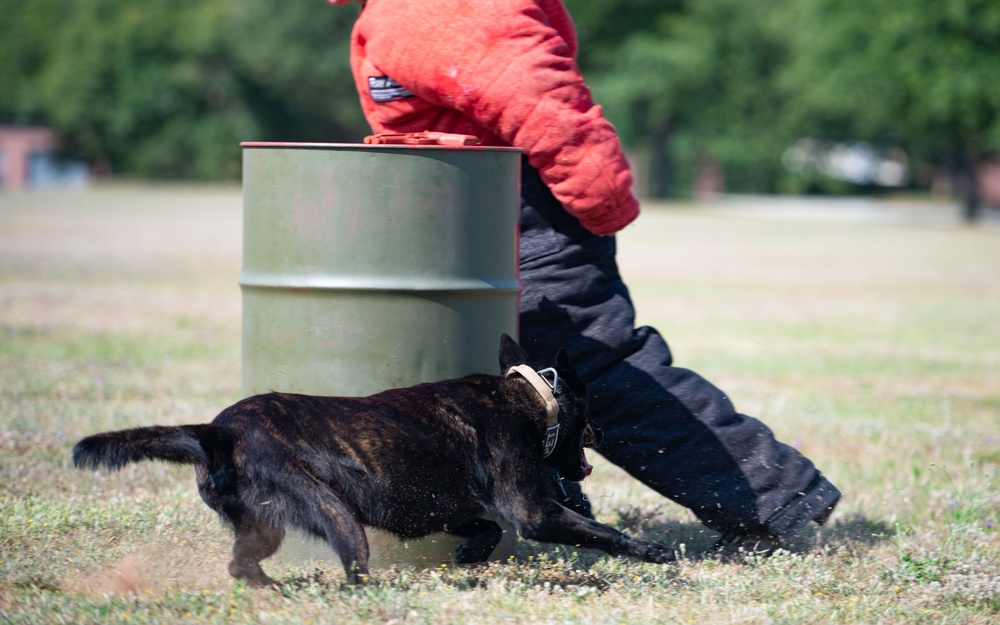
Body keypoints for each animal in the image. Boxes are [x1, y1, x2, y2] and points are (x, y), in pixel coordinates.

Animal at [74, 334, 676, 584]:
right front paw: (654, 552)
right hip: (335, 514)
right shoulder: (533, 511)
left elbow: (480, 526)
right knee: (353, 570)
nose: (599, 434)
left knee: (242, 564)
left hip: (266, 524)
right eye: (590, 408)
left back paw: (276, 591)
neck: (527, 399)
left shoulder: (436, 506)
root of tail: (218, 432)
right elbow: (600, 532)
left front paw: (469, 557)